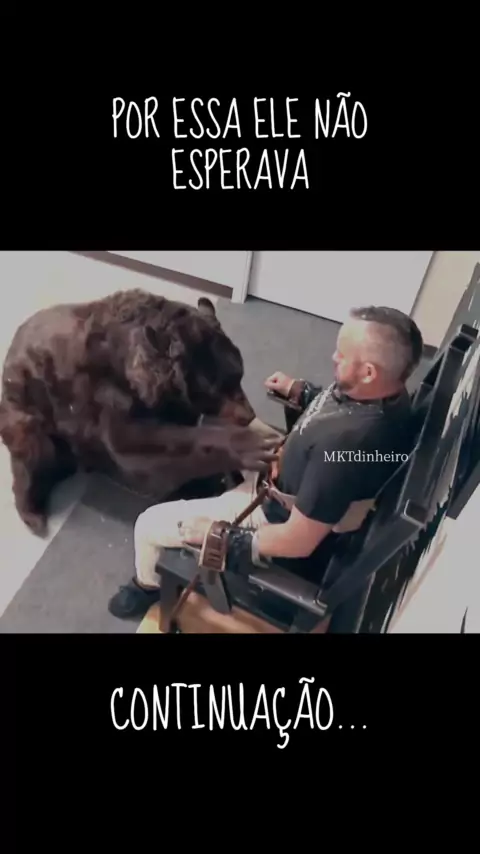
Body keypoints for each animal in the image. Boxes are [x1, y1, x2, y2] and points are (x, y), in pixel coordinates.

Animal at [0, 288, 279, 537]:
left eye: (239, 374)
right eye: (216, 387)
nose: (247, 414)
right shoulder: (108, 395)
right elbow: (141, 444)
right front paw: (251, 446)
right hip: (30, 409)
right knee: (33, 456)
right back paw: (33, 513)